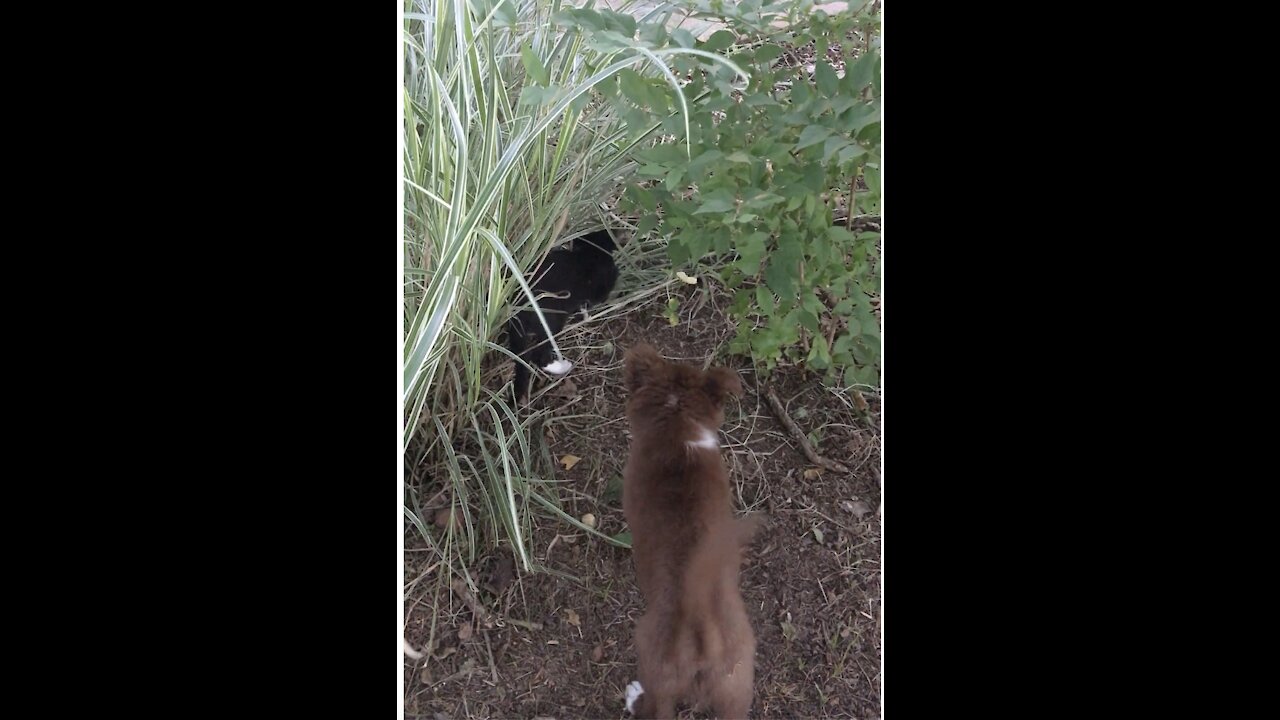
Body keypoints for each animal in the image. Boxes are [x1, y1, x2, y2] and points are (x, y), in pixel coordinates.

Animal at [504, 226, 619, 399]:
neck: (590, 254)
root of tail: (517, 313)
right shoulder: (600, 289)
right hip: (553, 321)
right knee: (539, 356)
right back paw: (563, 366)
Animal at [619, 343, 757, 717]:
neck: (677, 425)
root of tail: (702, 636)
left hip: (654, 664)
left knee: (655, 706)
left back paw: (634, 697)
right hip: (736, 685)